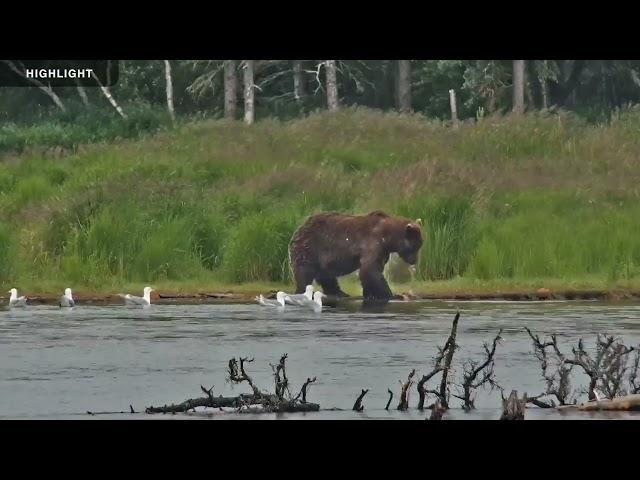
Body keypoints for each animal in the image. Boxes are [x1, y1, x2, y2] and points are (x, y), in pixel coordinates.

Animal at [288, 210, 422, 300]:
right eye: (415, 247)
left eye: (420, 245)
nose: (414, 260)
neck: (388, 238)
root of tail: (300, 228)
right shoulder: (373, 243)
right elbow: (370, 269)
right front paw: (392, 295)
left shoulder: (383, 251)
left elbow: (373, 271)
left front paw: (370, 294)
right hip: (310, 247)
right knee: (304, 273)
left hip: (322, 258)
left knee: (326, 276)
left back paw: (340, 293)